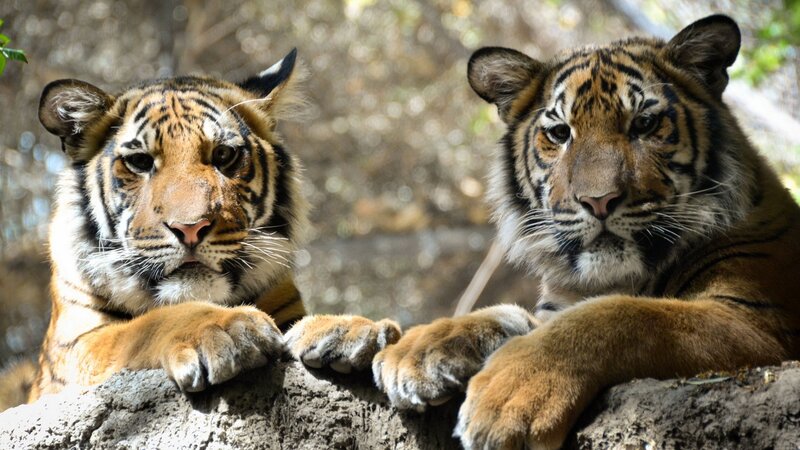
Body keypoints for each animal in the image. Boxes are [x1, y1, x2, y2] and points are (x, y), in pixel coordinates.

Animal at [0, 49, 318, 409]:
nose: (191, 228)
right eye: (140, 161)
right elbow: (141, 328)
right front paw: (225, 327)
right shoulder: (73, 348)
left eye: (223, 155)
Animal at [286, 15, 800, 449]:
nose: (598, 201)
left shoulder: (758, 320)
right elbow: (507, 314)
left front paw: (509, 398)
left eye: (646, 124)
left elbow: (621, 315)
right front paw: (409, 346)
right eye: (559, 133)